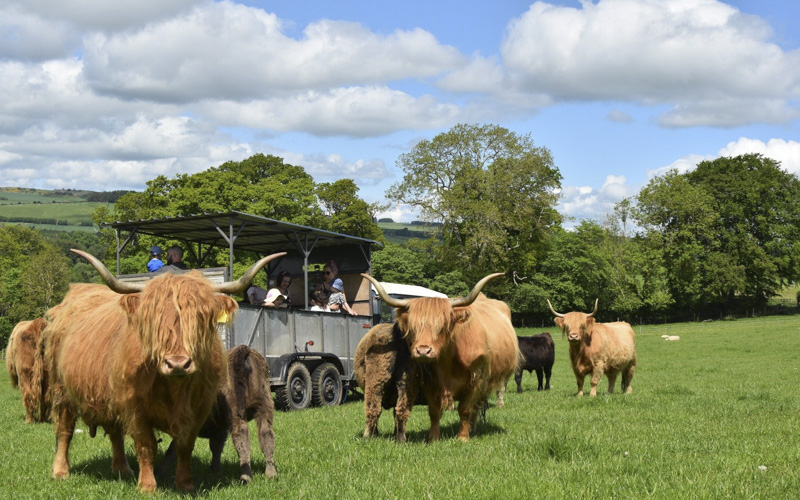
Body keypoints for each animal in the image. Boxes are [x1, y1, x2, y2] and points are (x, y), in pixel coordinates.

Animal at [157, 345, 277, 483]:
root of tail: (243, 349)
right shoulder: (219, 429)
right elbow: (216, 447)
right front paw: (215, 469)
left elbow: (172, 450)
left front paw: (160, 473)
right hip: (264, 408)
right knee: (266, 436)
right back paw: (271, 473)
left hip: (237, 412)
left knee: (241, 437)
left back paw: (246, 477)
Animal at [363, 273, 520, 442]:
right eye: (413, 327)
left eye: (442, 326)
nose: (423, 351)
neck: (448, 363)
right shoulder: (430, 383)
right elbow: (434, 411)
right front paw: (433, 437)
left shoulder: (475, 381)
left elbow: (465, 409)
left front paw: (462, 437)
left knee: (477, 406)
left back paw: (472, 428)